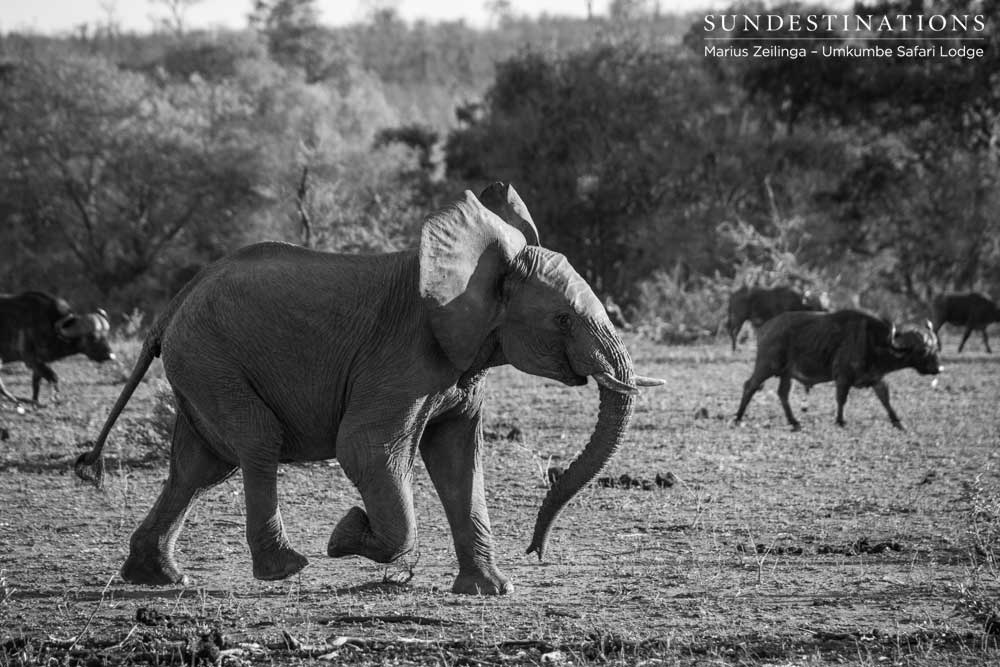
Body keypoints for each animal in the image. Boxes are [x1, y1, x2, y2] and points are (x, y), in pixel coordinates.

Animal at [76, 183, 664, 595]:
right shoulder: (401, 357)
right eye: (562, 320)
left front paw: (492, 591)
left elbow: (459, 457)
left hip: (200, 367)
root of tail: (175, 302)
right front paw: (346, 538)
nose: (534, 551)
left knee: (198, 466)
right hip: (211, 358)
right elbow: (366, 449)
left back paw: (159, 577)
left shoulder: (460, 361)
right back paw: (286, 567)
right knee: (256, 443)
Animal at [734, 310, 941, 430]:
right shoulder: (842, 377)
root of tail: (765, 328)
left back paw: (794, 422)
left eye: (935, 348)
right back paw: (738, 417)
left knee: (782, 394)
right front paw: (840, 421)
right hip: (767, 366)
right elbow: (841, 399)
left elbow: (885, 399)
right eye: (923, 351)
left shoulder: (876, 378)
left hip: (786, 374)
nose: (938, 368)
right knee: (750, 385)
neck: (872, 342)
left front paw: (897, 421)